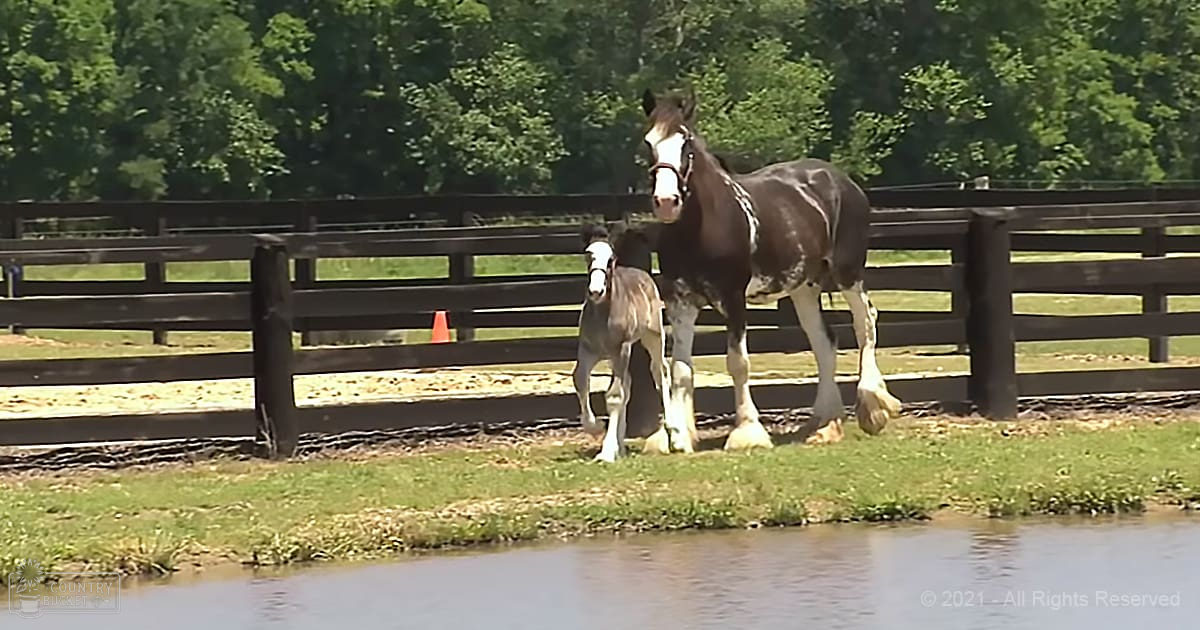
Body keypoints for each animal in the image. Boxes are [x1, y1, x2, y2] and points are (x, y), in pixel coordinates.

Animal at [572, 223, 683, 462]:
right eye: (588, 255)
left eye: (611, 259)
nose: (596, 291)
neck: (602, 315)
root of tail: (643, 273)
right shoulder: (588, 350)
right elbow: (580, 380)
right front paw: (596, 427)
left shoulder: (619, 349)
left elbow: (615, 395)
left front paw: (606, 452)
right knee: (629, 384)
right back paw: (620, 445)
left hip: (653, 336)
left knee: (660, 371)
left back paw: (673, 428)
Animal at [638, 88, 902, 452]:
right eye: (648, 143)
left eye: (685, 143)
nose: (666, 202)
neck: (703, 226)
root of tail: (840, 181)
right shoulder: (681, 300)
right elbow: (680, 369)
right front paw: (677, 436)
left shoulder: (734, 298)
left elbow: (738, 363)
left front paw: (746, 433)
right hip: (804, 286)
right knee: (824, 340)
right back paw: (825, 422)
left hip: (849, 273)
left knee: (864, 324)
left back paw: (873, 406)